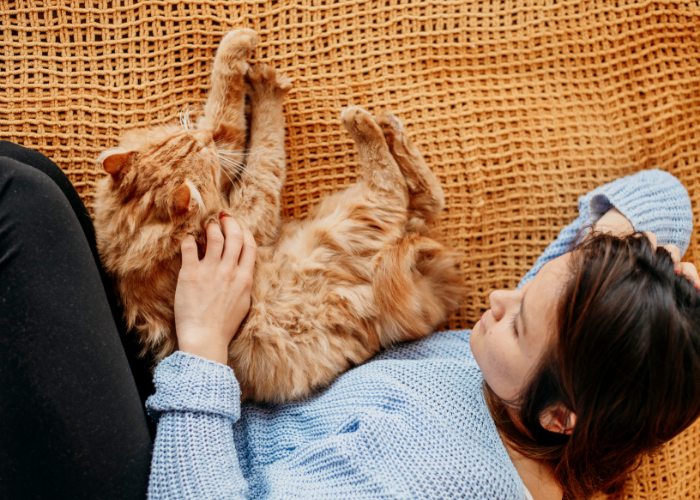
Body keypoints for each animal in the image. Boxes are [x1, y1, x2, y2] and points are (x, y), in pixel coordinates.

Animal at [93, 30, 464, 402]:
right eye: (198, 150)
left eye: (185, 138)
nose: (202, 137)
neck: (139, 240)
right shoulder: (249, 208)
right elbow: (247, 130)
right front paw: (246, 54)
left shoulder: (229, 167)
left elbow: (226, 113)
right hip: (357, 217)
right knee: (397, 188)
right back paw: (362, 122)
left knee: (427, 197)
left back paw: (390, 128)